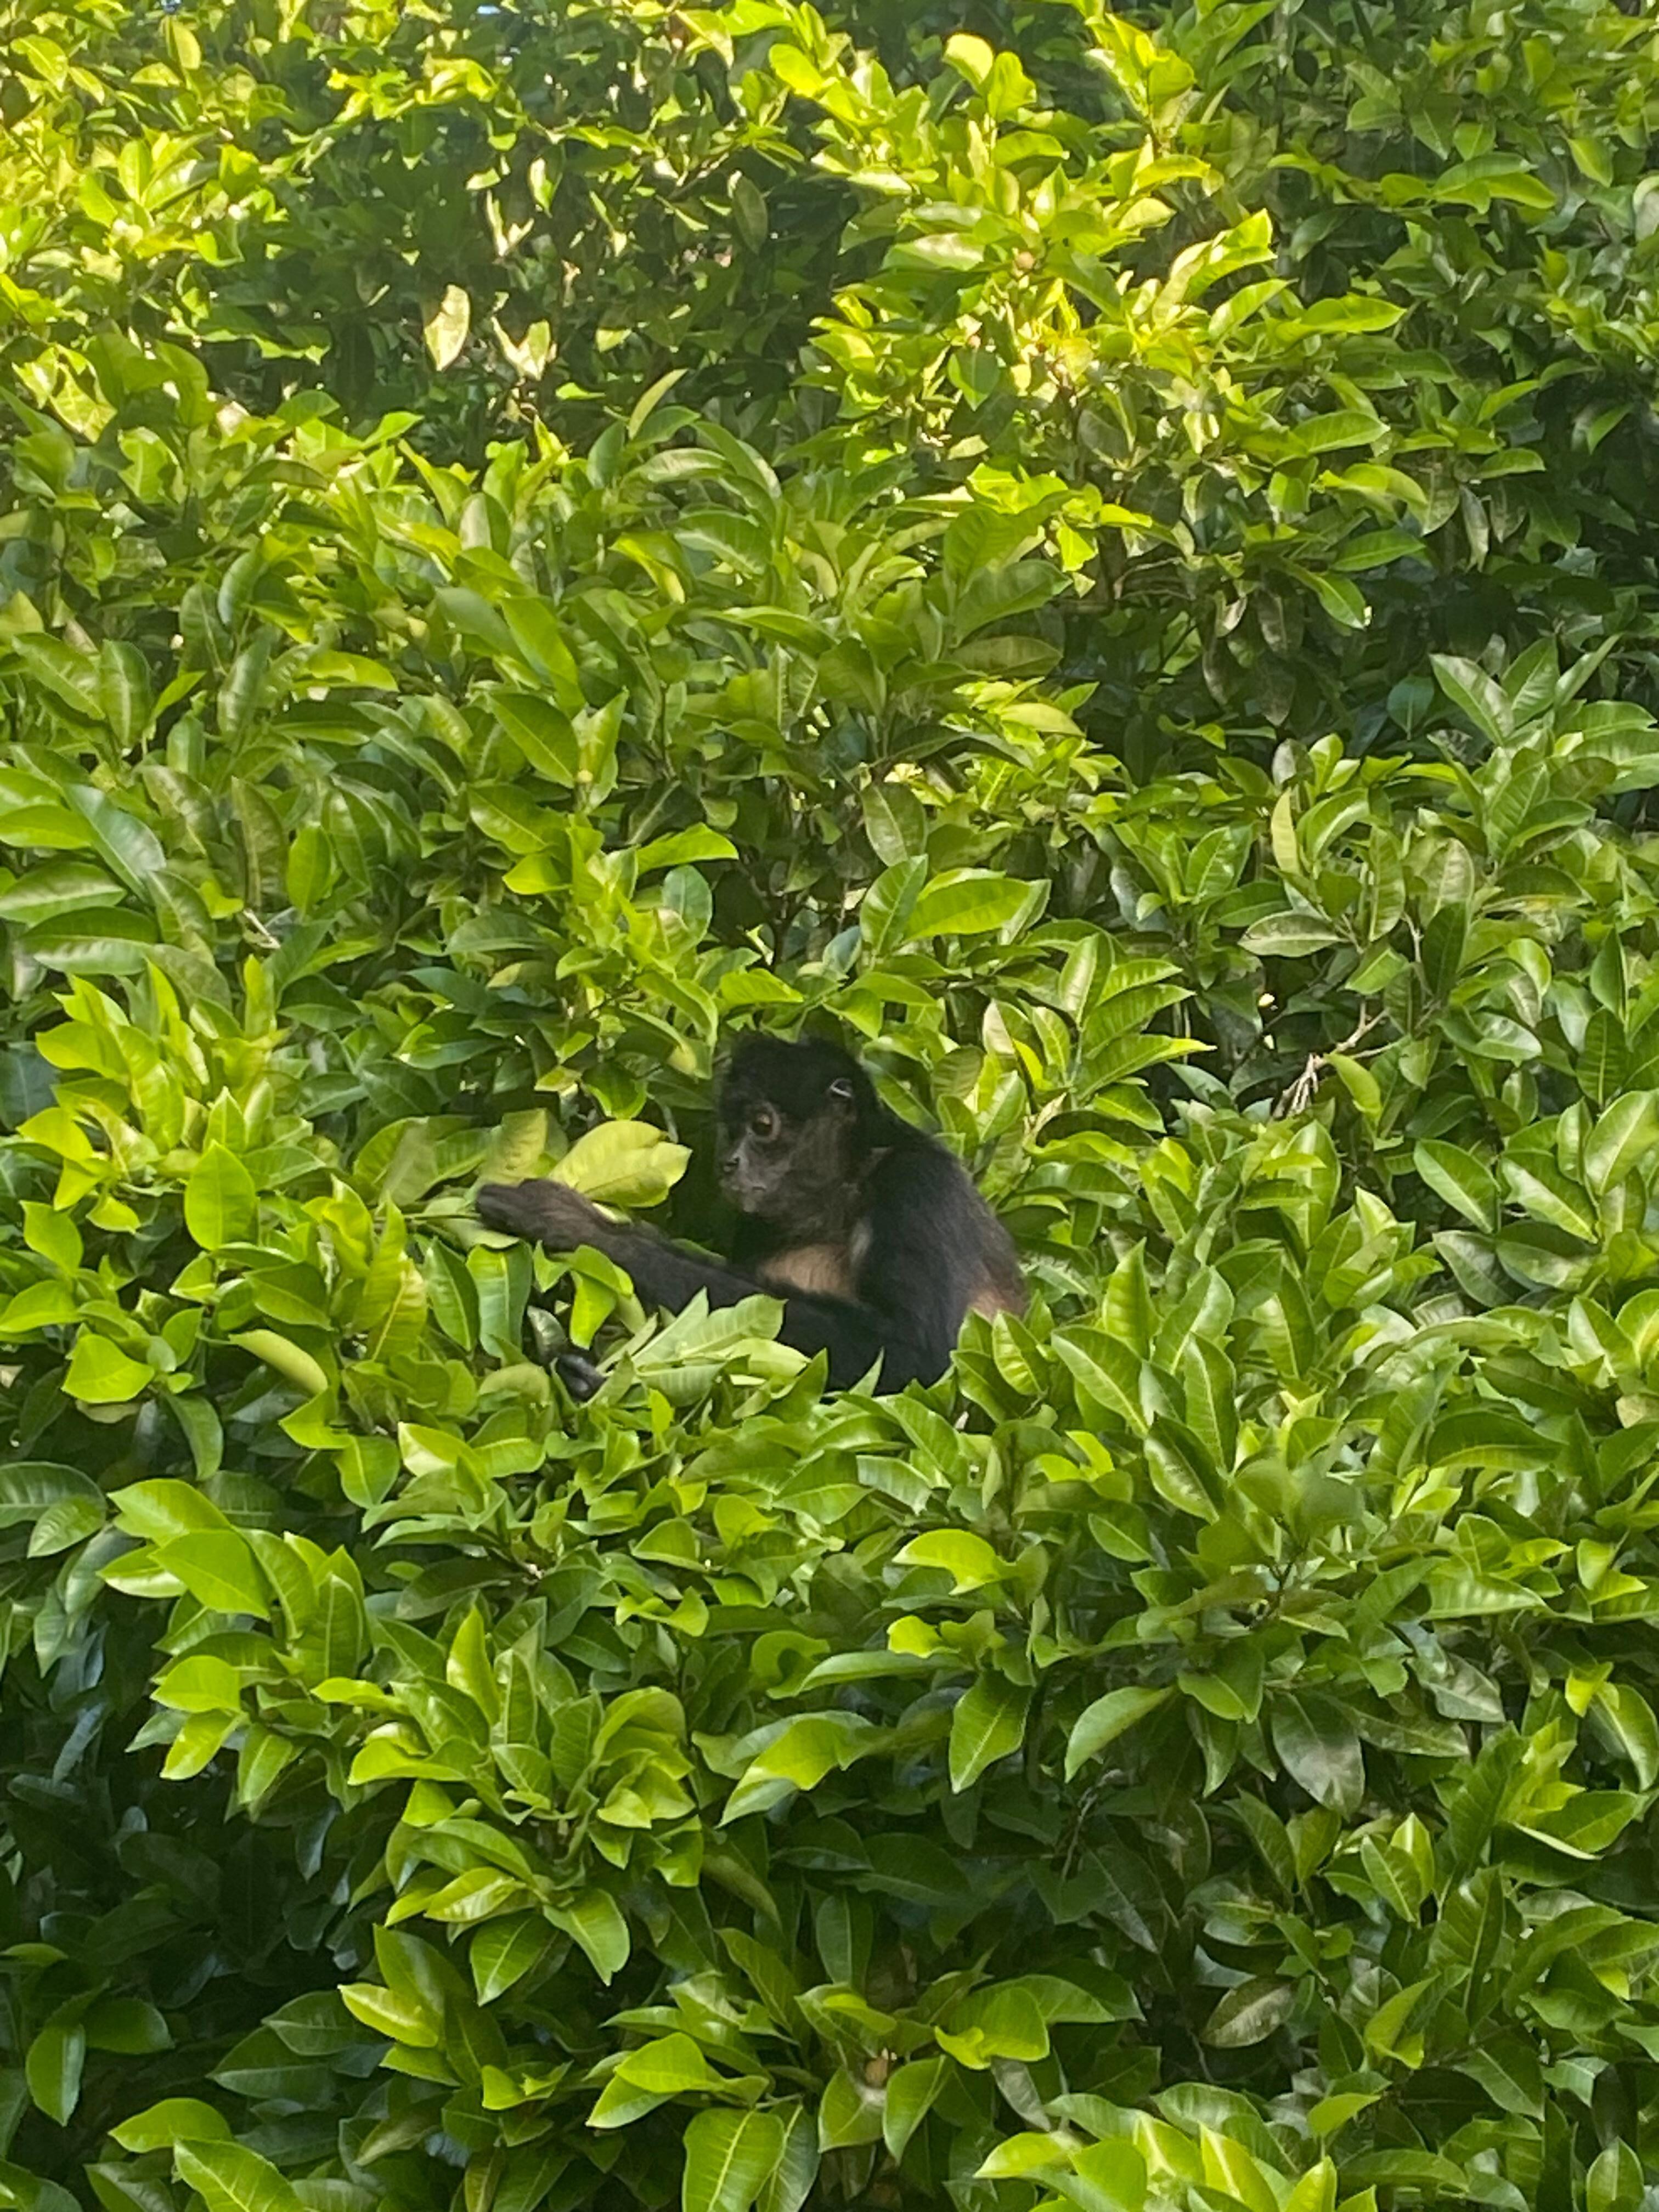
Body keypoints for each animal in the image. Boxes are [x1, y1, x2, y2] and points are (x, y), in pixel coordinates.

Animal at [474, 1035, 1026, 1398]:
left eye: (762, 1125)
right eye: (732, 1126)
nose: (728, 1162)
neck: (846, 1190)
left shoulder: (918, 1184)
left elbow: (917, 1355)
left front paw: (588, 1230)